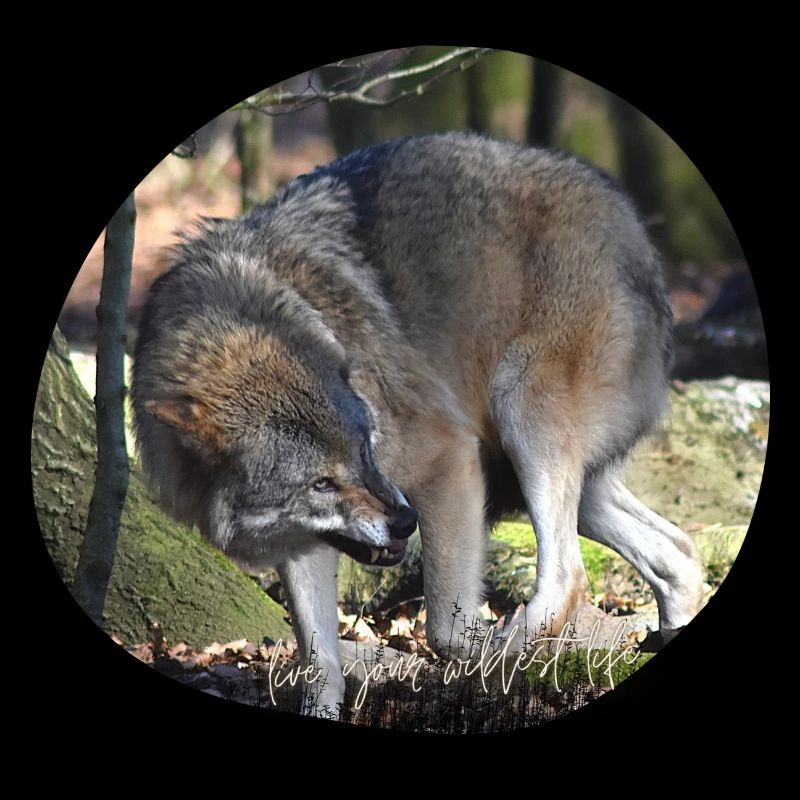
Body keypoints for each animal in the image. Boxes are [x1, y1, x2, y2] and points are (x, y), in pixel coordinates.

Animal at [131, 132, 704, 715]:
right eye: (321, 483)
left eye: (364, 450)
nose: (405, 522)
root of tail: (625, 211)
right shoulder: (302, 544)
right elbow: (318, 660)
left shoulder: (447, 459)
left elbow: (446, 629)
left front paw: (465, 655)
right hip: (557, 484)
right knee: (679, 554)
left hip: (520, 414)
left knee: (568, 575)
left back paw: (508, 653)